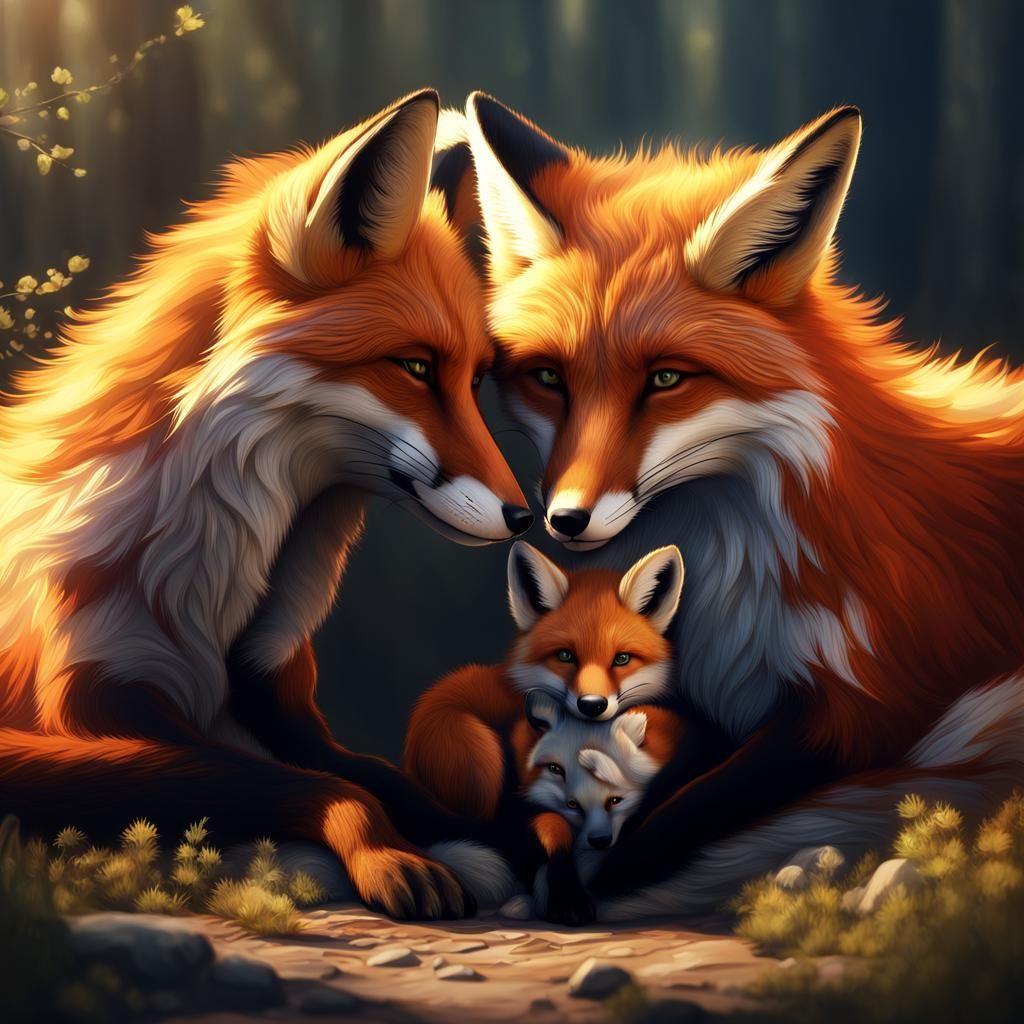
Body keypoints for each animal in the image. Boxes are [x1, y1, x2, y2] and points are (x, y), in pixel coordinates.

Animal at [0, 89, 536, 921]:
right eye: (416, 367)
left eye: (475, 380)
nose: (524, 517)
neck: (216, 593)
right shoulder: (93, 700)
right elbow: (313, 787)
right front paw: (388, 855)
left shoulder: (274, 682)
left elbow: (376, 776)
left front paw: (498, 839)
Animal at [452, 93, 1024, 911]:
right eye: (549, 378)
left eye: (665, 379)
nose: (564, 519)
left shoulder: (869, 701)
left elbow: (682, 811)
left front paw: (598, 871)